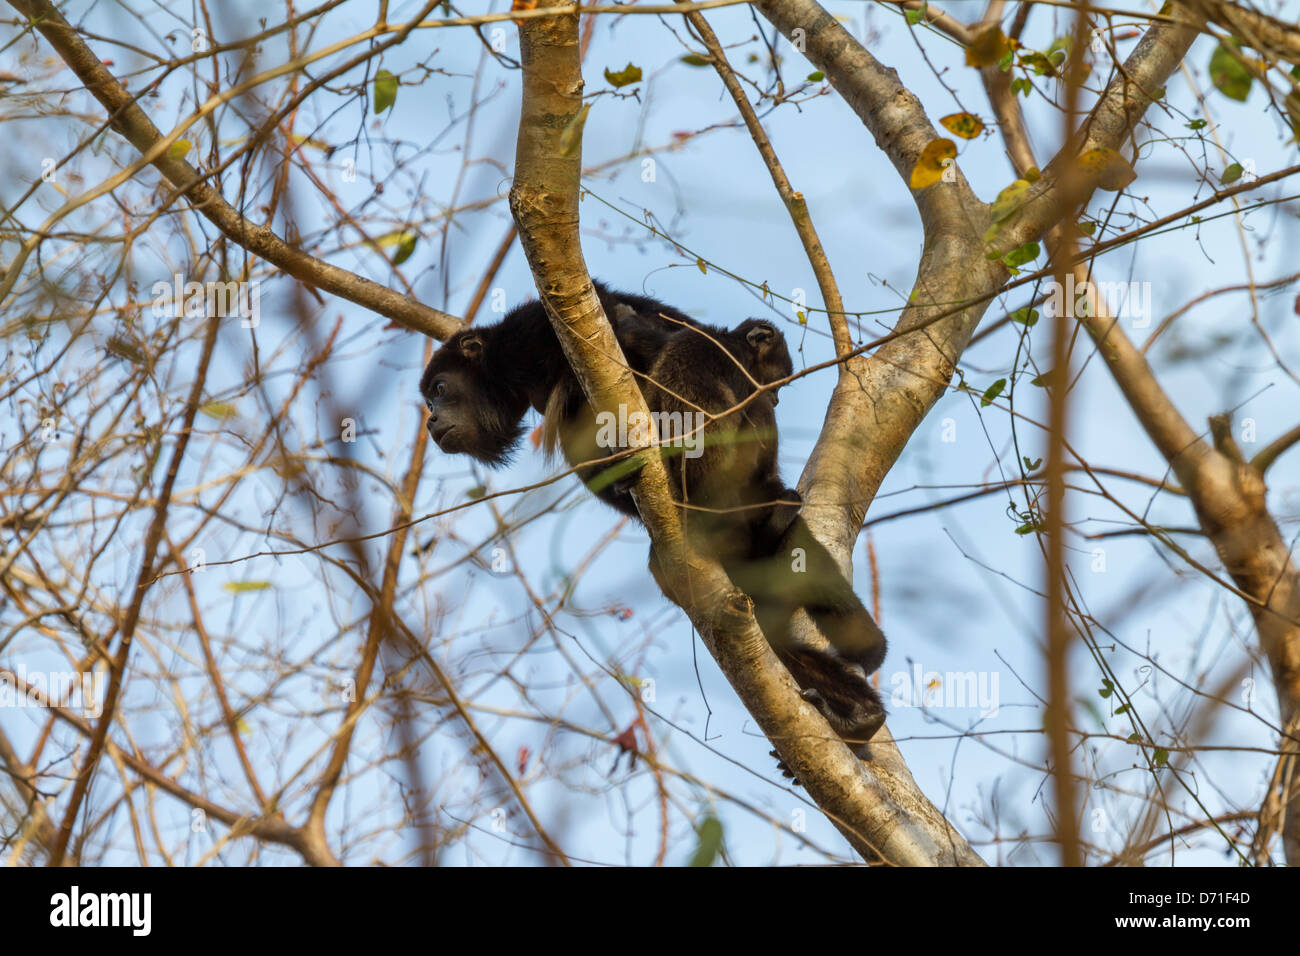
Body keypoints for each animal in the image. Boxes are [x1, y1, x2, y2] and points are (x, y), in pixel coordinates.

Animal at [421, 283, 889, 749]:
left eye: (441, 389)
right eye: (430, 398)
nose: (430, 421)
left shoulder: (529, 331)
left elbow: (627, 336)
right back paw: (858, 715)